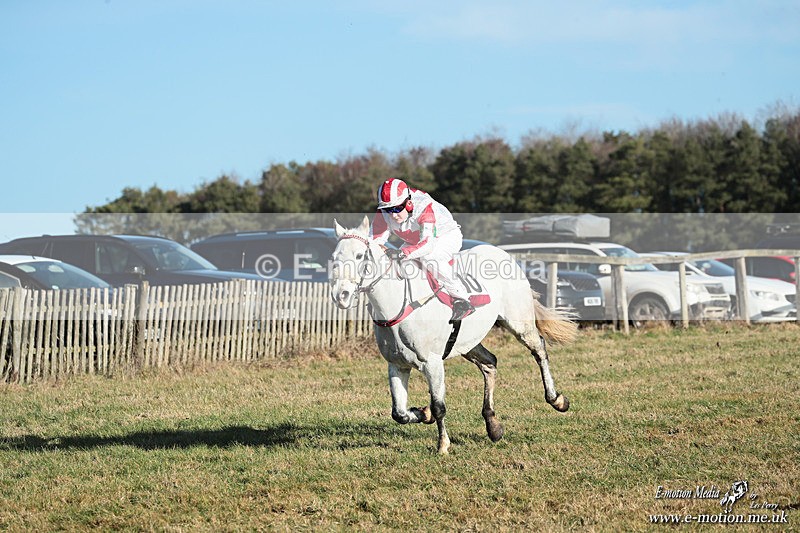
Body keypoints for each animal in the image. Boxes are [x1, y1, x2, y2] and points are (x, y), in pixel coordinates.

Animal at [329, 216, 577, 454]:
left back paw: (556, 399)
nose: (341, 295)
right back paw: (493, 426)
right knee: (490, 363)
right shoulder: (397, 365)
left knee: (539, 349)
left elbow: (439, 406)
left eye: (360, 255)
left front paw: (443, 445)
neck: (399, 304)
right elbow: (399, 413)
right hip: (468, 342)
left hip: (519, 323)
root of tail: (502, 253)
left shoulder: (432, 363)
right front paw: (423, 413)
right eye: (334, 257)